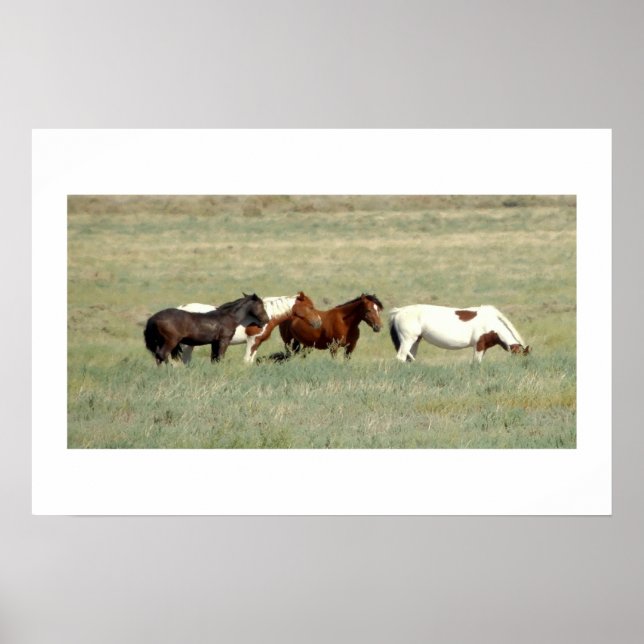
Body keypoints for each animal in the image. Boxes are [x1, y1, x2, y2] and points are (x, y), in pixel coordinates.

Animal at [176, 293, 321, 363]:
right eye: (310, 307)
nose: (318, 322)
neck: (266, 314)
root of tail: (180, 308)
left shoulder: (257, 343)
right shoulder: (252, 340)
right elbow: (246, 360)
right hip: (186, 345)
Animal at [252, 293, 384, 358]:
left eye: (378, 309)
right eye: (368, 310)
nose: (378, 327)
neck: (345, 323)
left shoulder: (350, 348)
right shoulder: (333, 347)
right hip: (288, 342)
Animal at [388, 304, 530, 363]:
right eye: (518, 355)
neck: (491, 323)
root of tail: (398, 311)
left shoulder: (483, 347)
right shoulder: (478, 345)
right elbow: (476, 362)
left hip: (415, 341)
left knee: (409, 357)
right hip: (408, 340)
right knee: (401, 358)